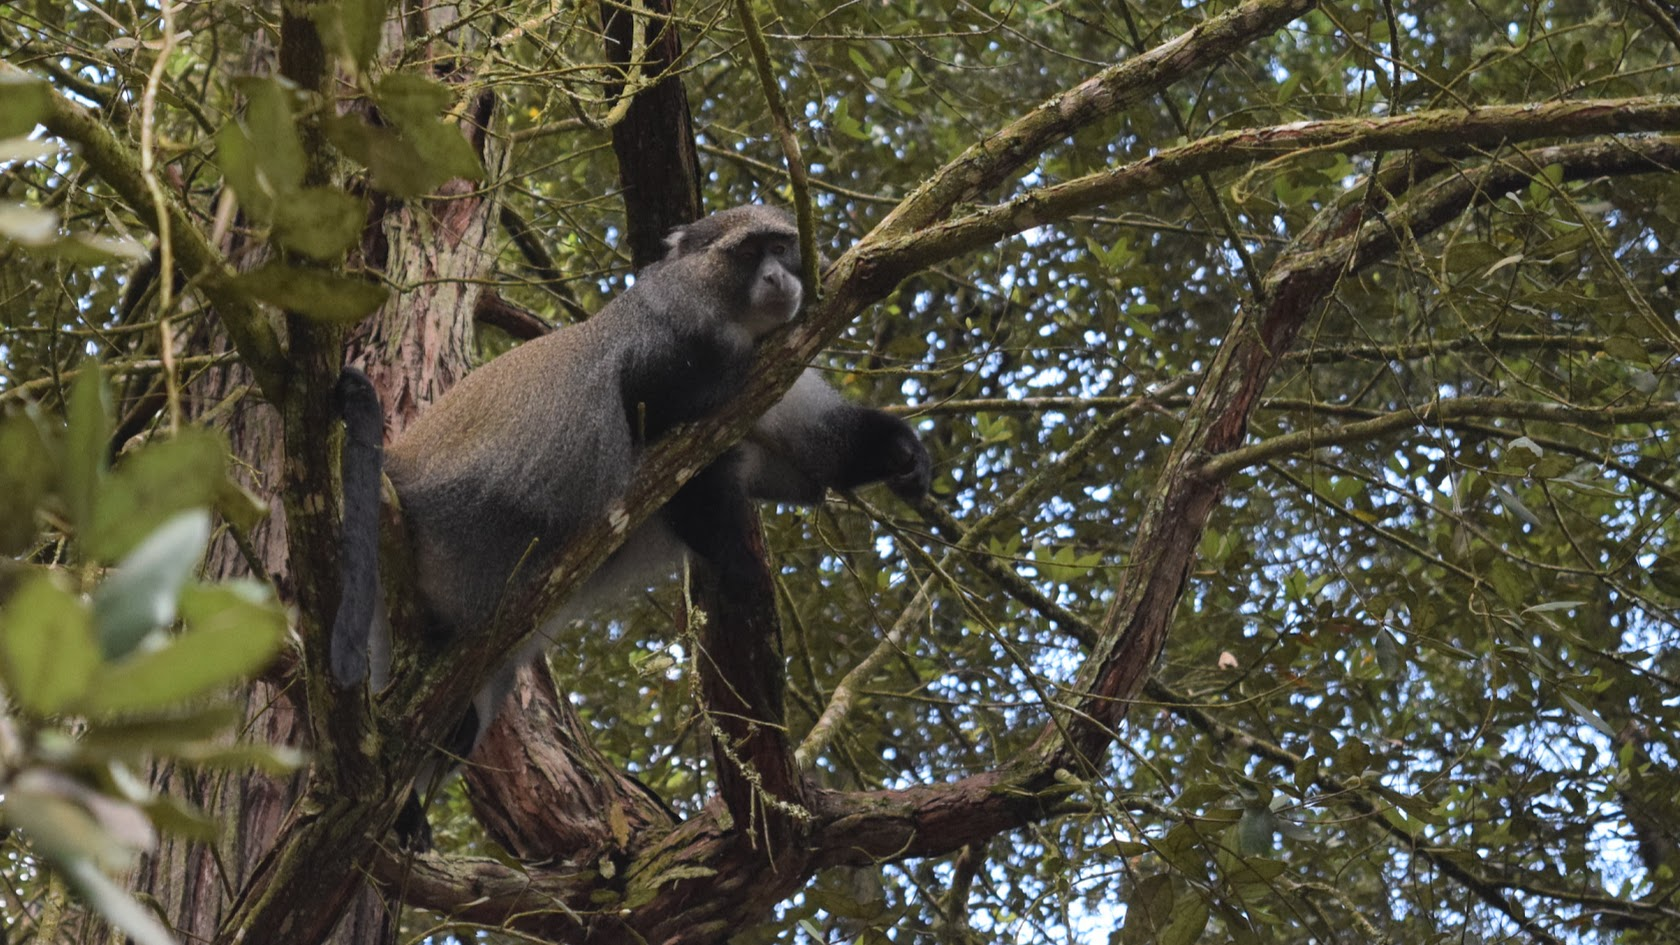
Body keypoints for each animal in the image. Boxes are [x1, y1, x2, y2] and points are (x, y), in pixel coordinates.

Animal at [331, 204, 931, 847]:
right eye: (748, 255)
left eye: (780, 247)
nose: (777, 278)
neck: (728, 318)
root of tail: (401, 474)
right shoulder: (671, 354)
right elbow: (676, 459)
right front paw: (744, 575)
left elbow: (812, 457)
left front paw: (904, 455)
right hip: (459, 538)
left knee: (459, 728)